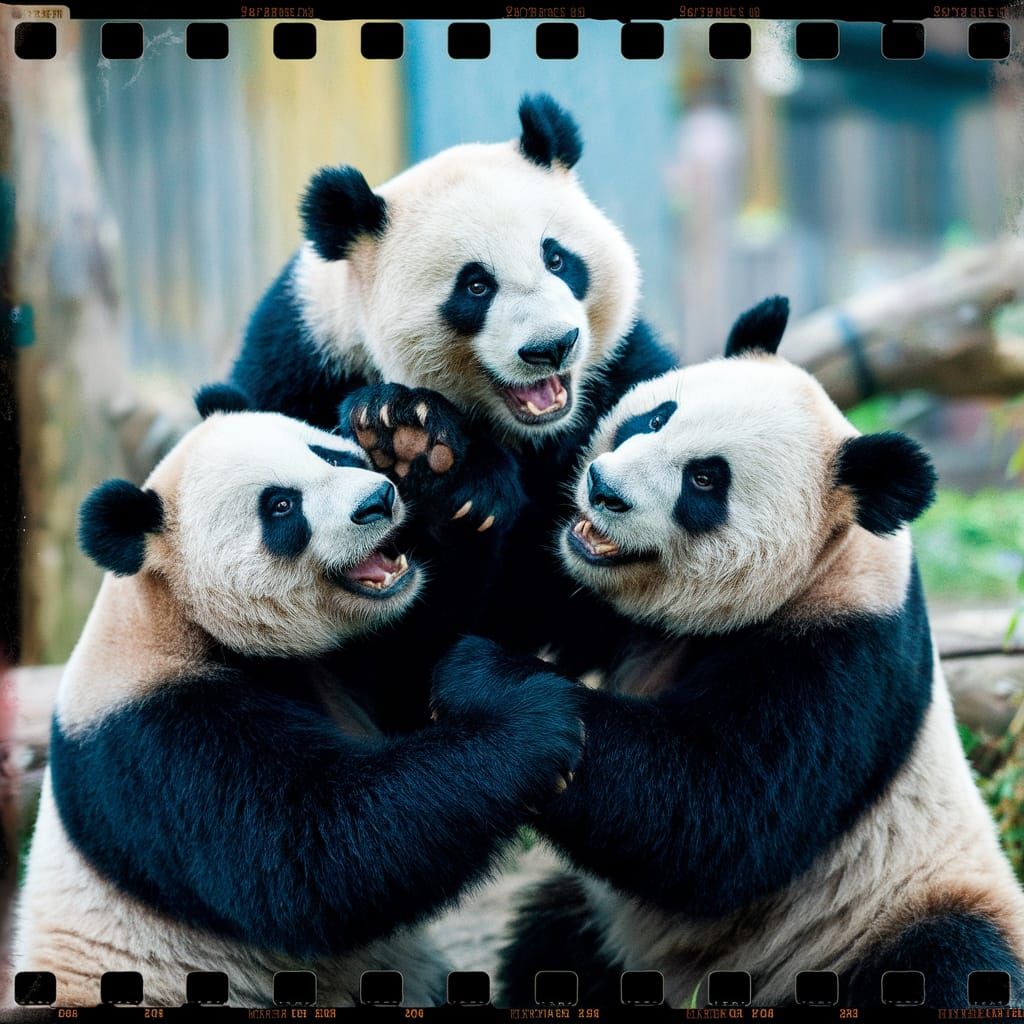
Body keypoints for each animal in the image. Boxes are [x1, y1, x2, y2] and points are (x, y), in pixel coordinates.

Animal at [14, 386, 583, 1008]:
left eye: (330, 454)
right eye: (282, 507)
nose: (377, 501)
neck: (180, 611)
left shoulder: (352, 662)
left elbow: (424, 667)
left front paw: (429, 455)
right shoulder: (153, 738)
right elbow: (312, 853)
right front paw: (535, 722)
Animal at [230, 92, 675, 660]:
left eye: (557, 258)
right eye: (476, 286)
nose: (552, 347)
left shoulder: (620, 375)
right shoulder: (300, 369)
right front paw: (409, 437)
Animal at [432, 296, 1024, 1009]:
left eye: (706, 480)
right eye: (655, 417)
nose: (604, 489)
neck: (823, 563)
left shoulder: (848, 653)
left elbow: (723, 814)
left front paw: (488, 678)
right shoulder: (597, 599)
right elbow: (521, 597)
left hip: (887, 913)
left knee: (949, 960)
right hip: (604, 931)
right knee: (552, 940)